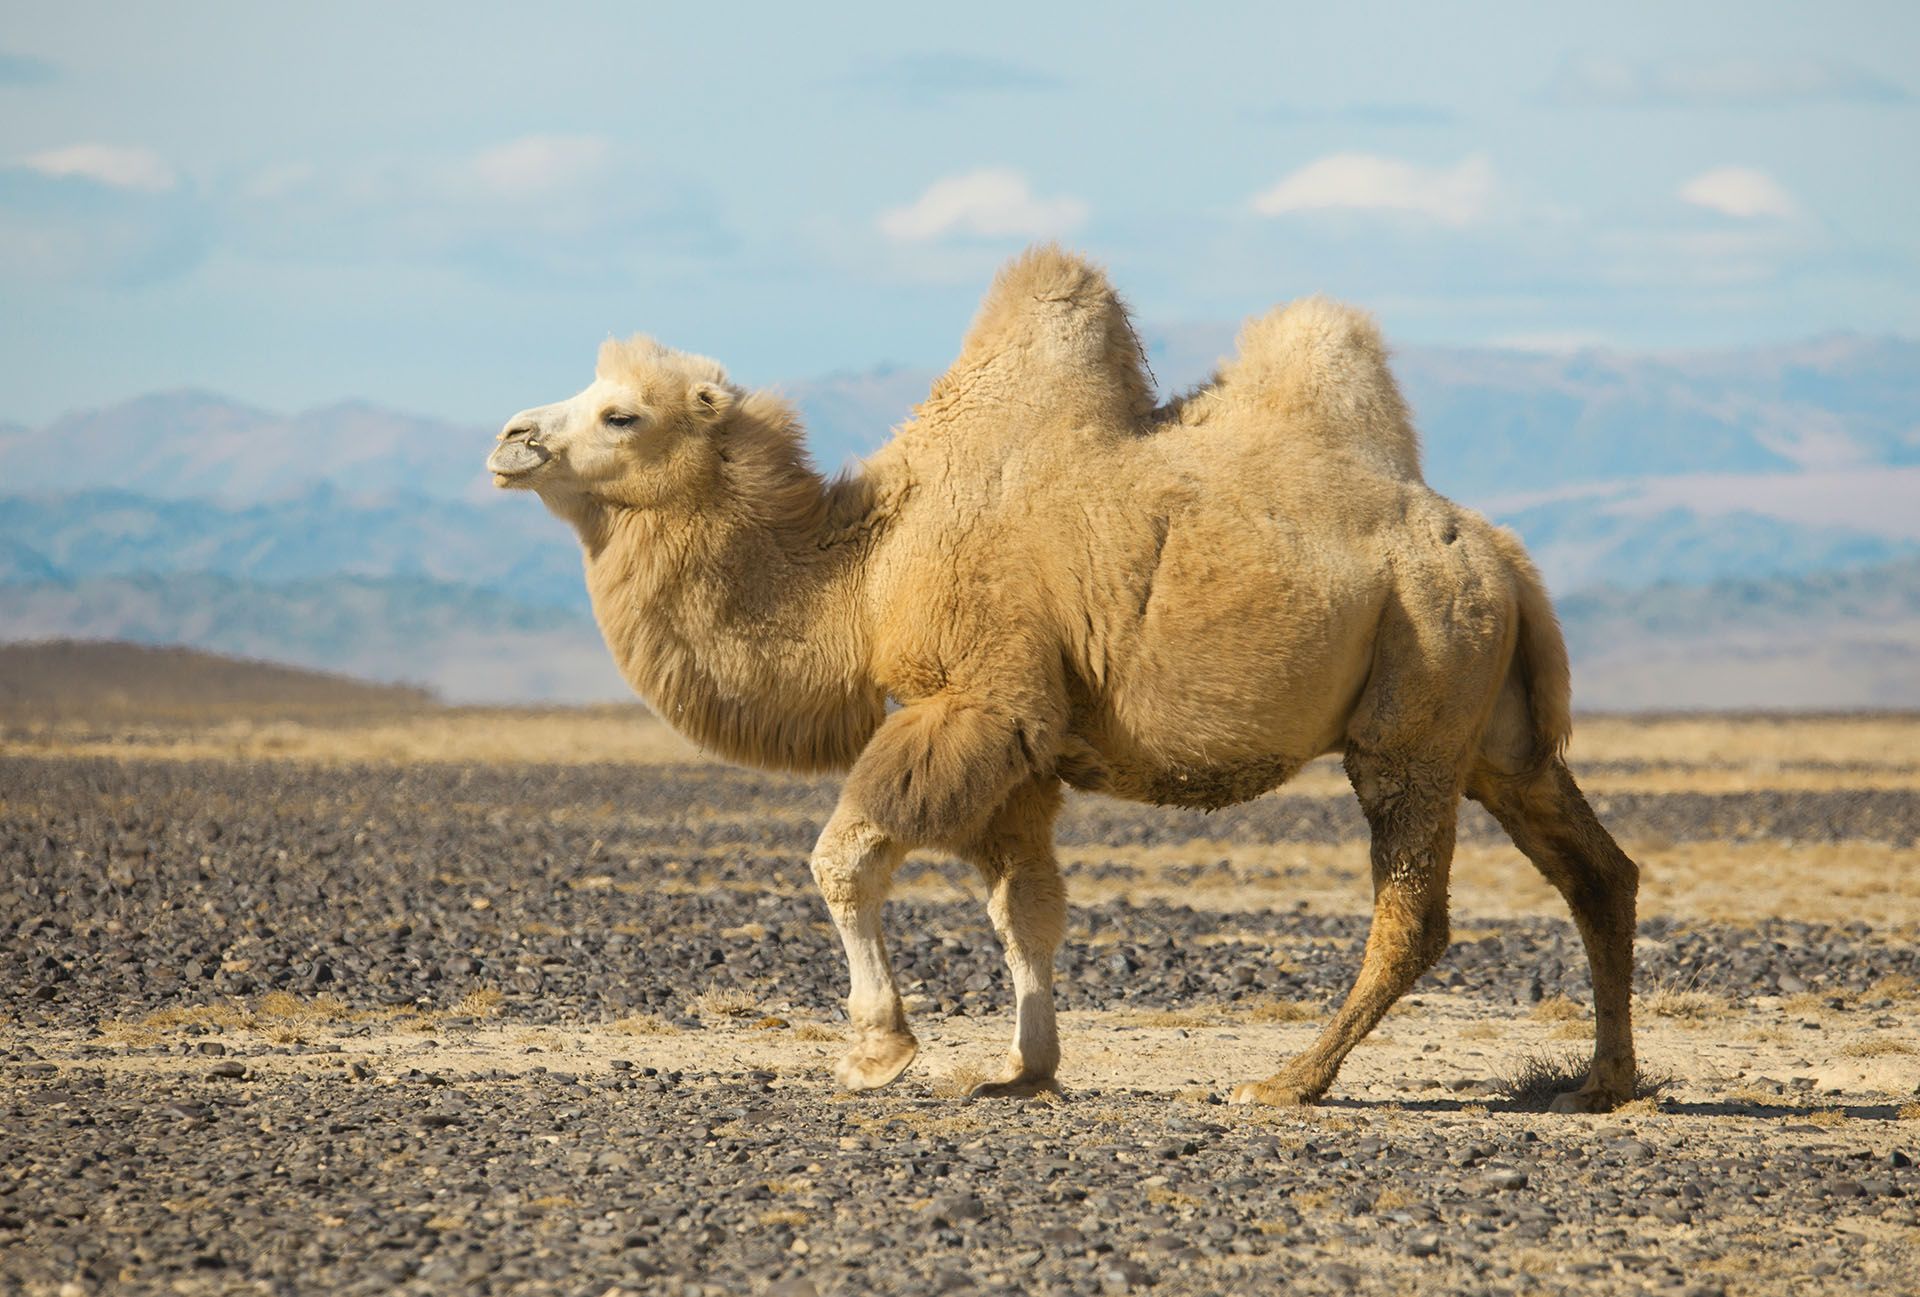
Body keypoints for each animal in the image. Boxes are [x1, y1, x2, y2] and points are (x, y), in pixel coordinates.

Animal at [487, 245, 1643, 1112]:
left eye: (623, 414)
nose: (510, 438)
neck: (871, 566)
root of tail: (1502, 555)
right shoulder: (1032, 745)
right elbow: (1026, 905)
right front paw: (1021, 1066)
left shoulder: (978, 694)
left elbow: (846, 857)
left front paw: (877, 1050)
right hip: (1493, 731)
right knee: (1598, 870)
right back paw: (1603, 1081)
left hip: (1417, 701)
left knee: (1415, 912)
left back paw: (1288, 1080)